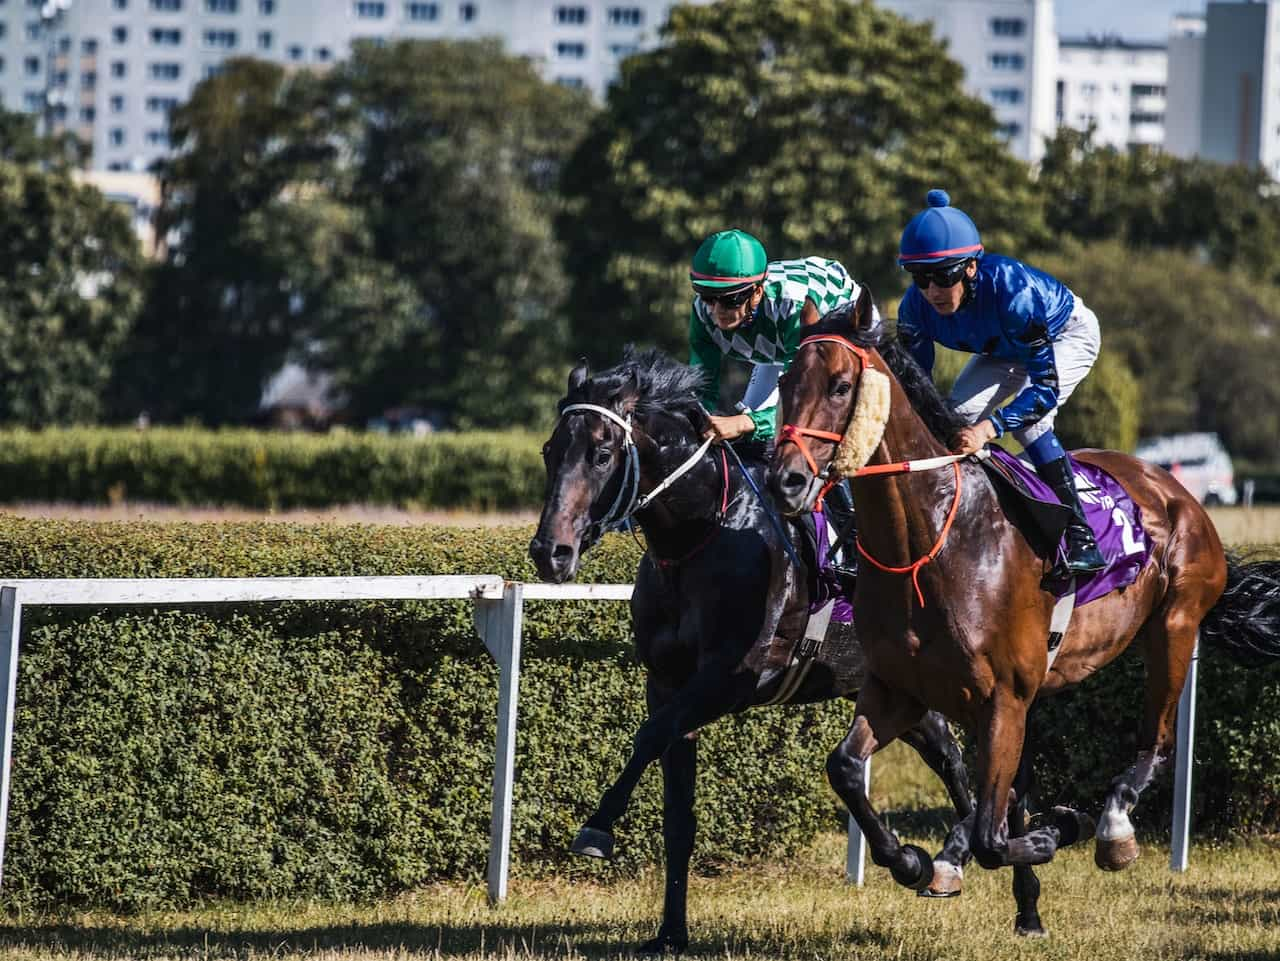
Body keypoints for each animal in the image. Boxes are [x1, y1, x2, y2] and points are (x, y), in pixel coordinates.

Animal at [529, 350, 967, 952]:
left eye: (600, 454)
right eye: (550, 451)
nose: (550, 553)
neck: (699, 536)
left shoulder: (735, 677)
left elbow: (648, 736)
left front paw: (597, 827)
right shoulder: (668, 683)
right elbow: (677, 812)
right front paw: (670, 933)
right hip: (899, 690)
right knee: (949, 754)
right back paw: (958, 861)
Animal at [762, 291, 1280, 931]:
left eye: (839, 386)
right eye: (785, 381)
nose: (784, 480)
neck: (931, 540)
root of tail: (1177, 491)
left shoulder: (1003, 697)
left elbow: (993, 833)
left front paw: (1060, 828)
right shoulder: (898, 688)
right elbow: (846, 768)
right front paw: (911, 860)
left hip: (1175, 627)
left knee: (1156, 743)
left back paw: (1111, 828)